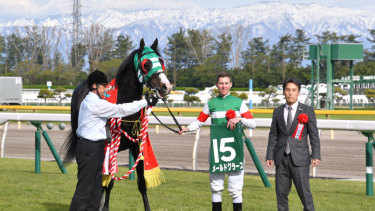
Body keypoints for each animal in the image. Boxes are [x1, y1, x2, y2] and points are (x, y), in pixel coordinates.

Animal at [61, 38, 172, 210]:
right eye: (146, 64)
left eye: (160, 61)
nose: (166, 86)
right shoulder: (111, 148)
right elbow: (109, 182)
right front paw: (105, 206)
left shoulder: (137, 146)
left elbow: (142, 183)